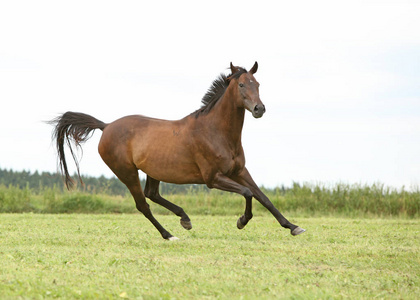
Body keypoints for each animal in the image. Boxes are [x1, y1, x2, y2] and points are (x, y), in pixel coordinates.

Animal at [50, 62, 306, 240]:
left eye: (258, 84)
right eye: (242, 84)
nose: (259, 109)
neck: (215, 132)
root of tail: (106, 126)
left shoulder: (240, 171)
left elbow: (263, 196)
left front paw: (293, 227)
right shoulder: (213, 178)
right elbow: (247, 193)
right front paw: (242, 221)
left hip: (153, 170)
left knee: (152, 194)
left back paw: (184, 219)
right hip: (126, 172)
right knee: (143, 205)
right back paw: (169, 234)